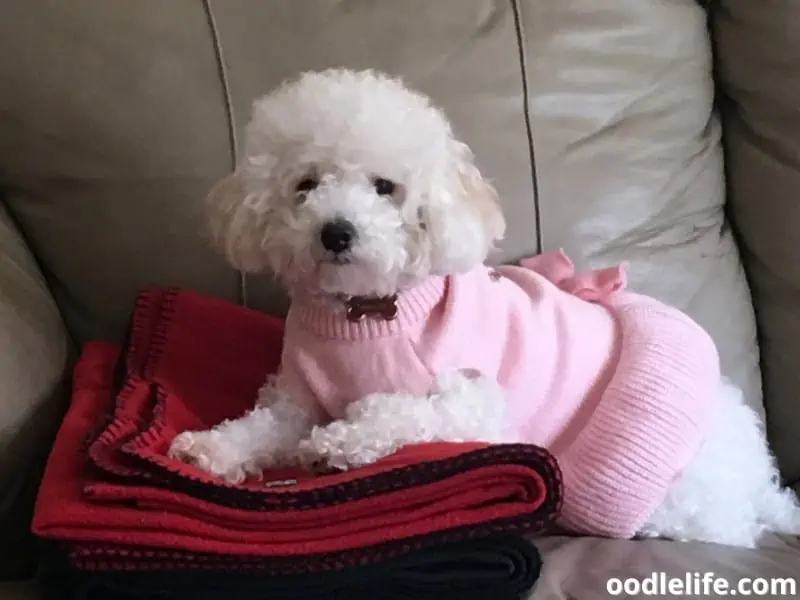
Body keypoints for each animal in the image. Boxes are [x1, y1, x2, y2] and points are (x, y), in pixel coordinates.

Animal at [170, 68, 800, 548]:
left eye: (385, 186)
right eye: (305, 185)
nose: (336, 232)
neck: (368, 310)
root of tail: (761, 480)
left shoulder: (477, 409)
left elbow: (401, 410)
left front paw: (338, 443)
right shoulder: (297, 397)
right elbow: (262, 426)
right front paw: (211, 448)